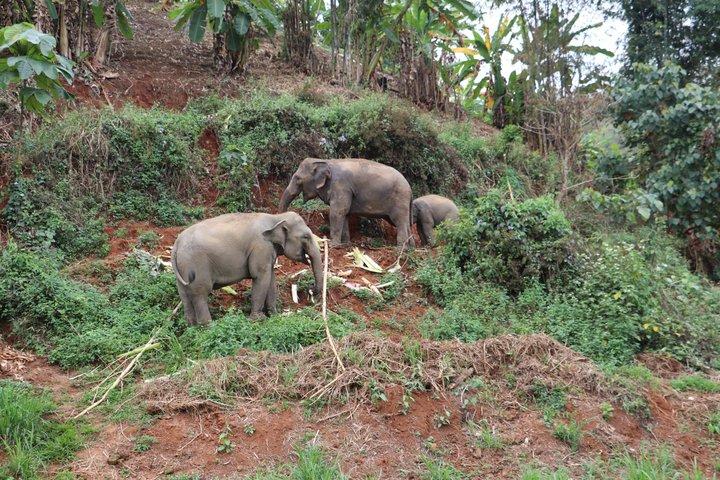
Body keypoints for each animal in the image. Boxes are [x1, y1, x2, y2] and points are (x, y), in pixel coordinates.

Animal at [171, 212, 323, 325]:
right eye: (306, 236)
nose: (310, 289)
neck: (276, 217)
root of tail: (176, 244)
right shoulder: (261, 246)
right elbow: (260, 277)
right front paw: (258, 319)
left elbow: (270, 279)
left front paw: (274, 315)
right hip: (197, 265)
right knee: (200, 293)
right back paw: (208, 327)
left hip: (182, 269)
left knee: (184, 294)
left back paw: (191, 326)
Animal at [279, 158, 414, 248]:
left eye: (298, 179)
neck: (326, 161)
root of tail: (410, 188)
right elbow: (345, 214)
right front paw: (345, 244)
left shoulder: (341, 186)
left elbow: (337, 212)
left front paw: (333, 246)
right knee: (406, 222)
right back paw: (410, 247)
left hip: (399, 199)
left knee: (399, 221)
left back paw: (399, 249)